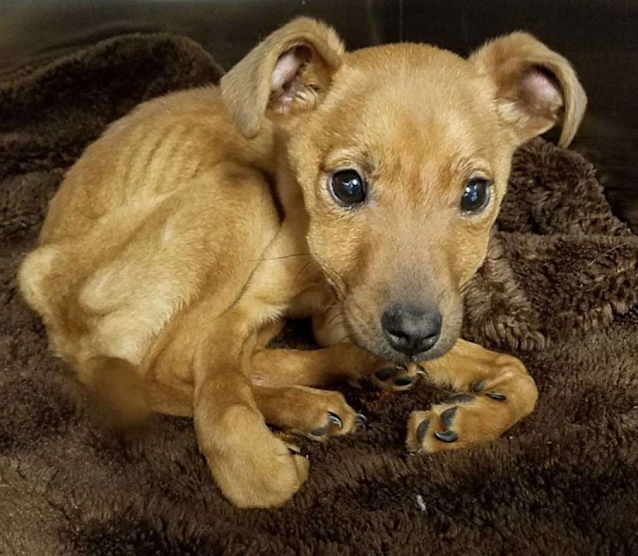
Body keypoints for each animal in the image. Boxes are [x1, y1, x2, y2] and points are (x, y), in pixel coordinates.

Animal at [18, 18, 586, 508]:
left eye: (475, 193)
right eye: (347, 184)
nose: (414, 332)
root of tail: (37, 281)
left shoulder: (360, 315)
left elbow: (521, 375)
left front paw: (469, 420)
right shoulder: (240, 316)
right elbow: (222, 397)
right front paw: (255, 463)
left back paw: (356, 374)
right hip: (238, 194)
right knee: (163, 371)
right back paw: (309, 403)